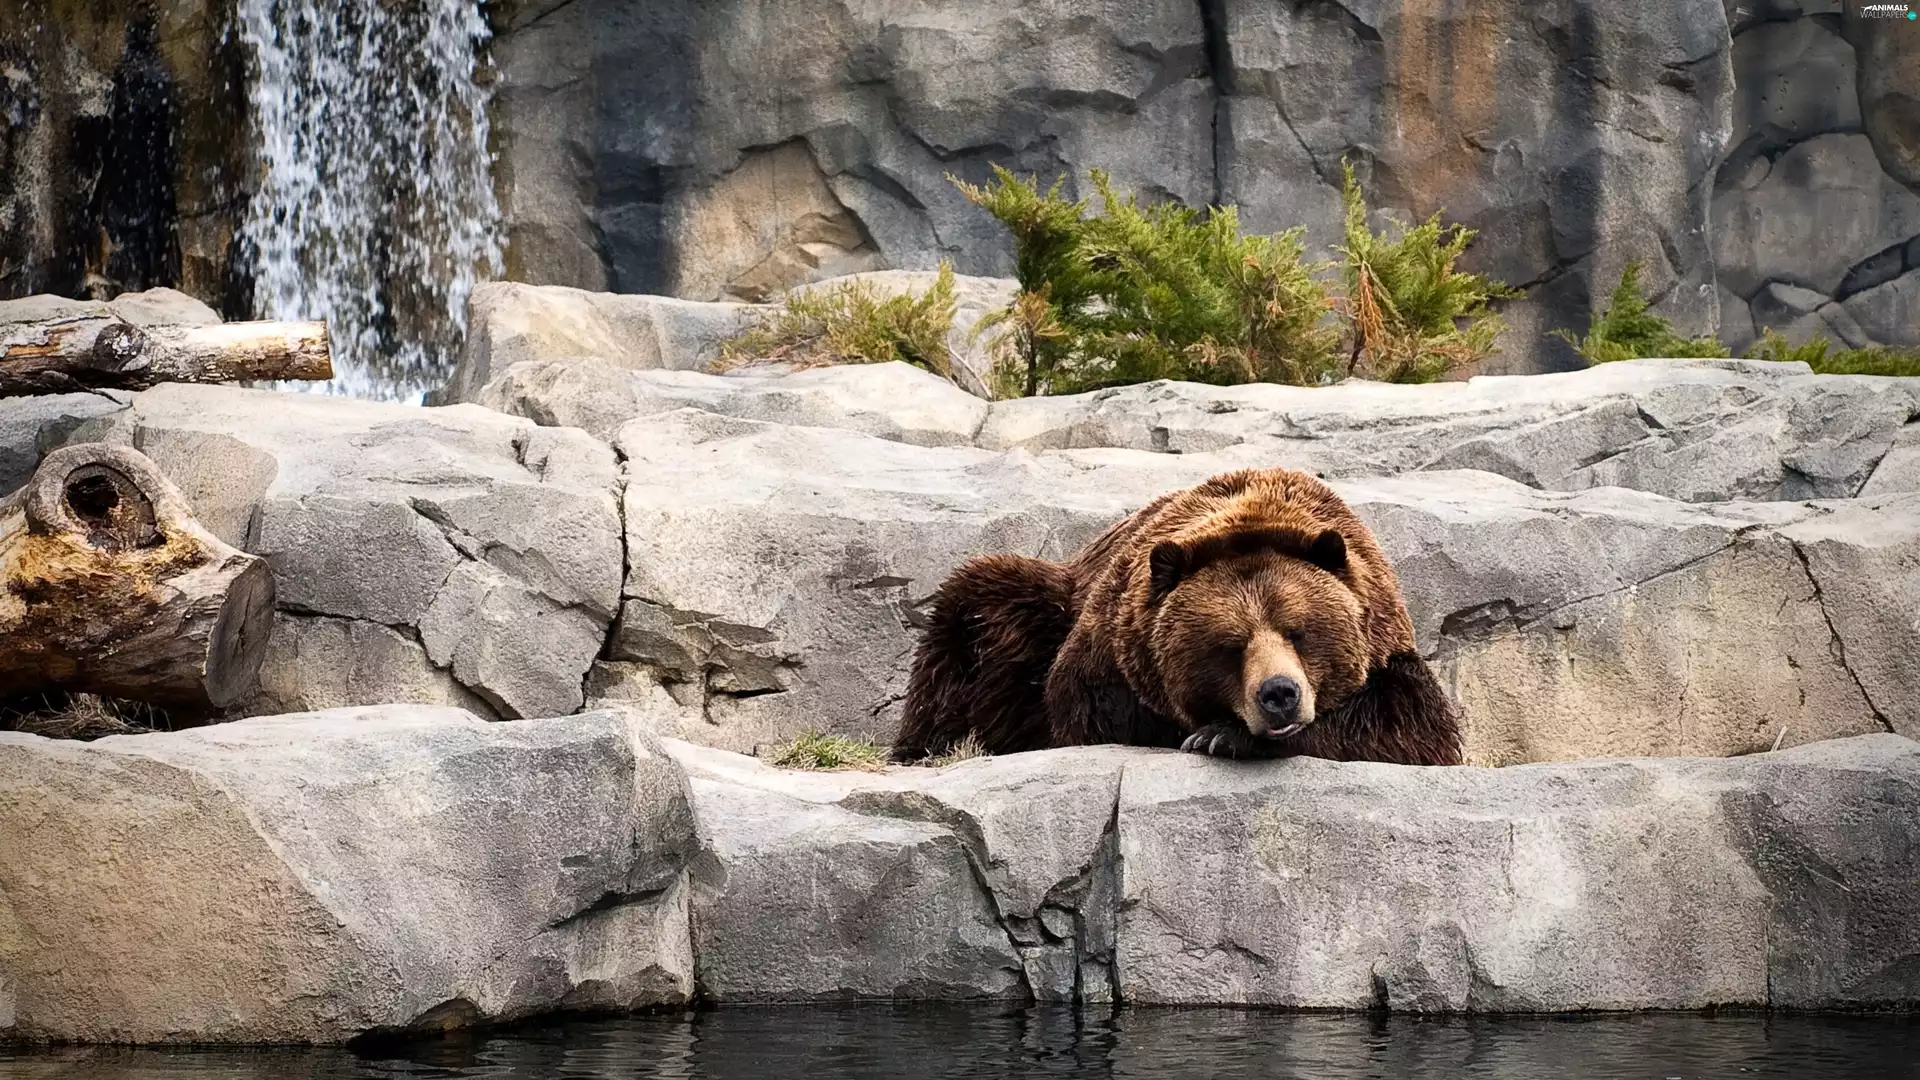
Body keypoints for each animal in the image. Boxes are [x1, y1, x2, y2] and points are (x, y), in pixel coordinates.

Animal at [892, 466, 1461, 765]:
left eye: (1298, 632)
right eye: (1230, 645)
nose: (1279, 694)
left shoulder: (1385, 644)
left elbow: (1410, 728)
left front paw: (1222, 736)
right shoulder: (1111, 649)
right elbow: (1091, 712)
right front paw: (1213, 733)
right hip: (1038, 609)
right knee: (975, 617)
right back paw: (924, 747)